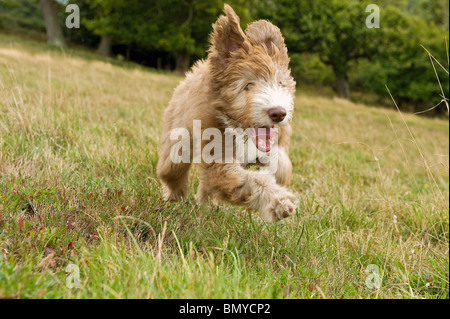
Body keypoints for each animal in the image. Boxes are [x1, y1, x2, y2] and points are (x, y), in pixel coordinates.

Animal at [156, 4, 298, 222]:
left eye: (280, 83)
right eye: (248, 85)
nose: (278, 113)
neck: (239, 130)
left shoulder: (276, 142)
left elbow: (281, 165)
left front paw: (271, 173)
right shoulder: (219, 160)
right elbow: (250, 180)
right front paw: (279, 202)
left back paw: (202, 206)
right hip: (177, 142)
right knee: (171, 172)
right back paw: (175, 199)